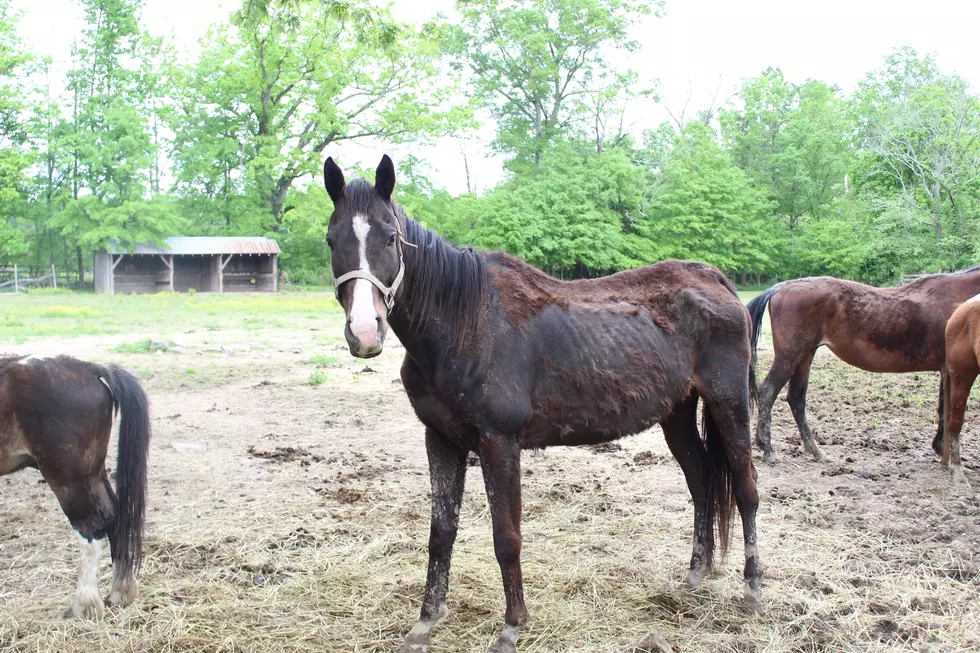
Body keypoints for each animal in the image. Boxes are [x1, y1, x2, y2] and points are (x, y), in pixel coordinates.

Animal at [0, 354, 149, 620]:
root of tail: (89, 368)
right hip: (92, 475)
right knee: (115, 518)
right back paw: (120, 592)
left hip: (68, 480)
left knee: (91, 528)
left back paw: (85, 604)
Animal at [326, 154, 760, 652]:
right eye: (332, 239)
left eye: (391, 237)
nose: (365, 333)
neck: (465, 323)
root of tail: (714, 280)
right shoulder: (441, 440)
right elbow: (441, 532)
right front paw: (426, 622)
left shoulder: (499, 443)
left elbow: (506, 538)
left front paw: (512, 626)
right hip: (678, 415)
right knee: (703, 484)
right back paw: (694, 576)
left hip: (729, 405)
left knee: (746, 491)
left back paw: (752, 591)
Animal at [748, 270, 980, 464]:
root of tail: (780, 287)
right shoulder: (952, 368)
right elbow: (947, 409)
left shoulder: (946, 370)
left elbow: (944, 407)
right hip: (790, 355)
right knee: (768, 392)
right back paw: (767, 448)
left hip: (805, 356)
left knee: (796, 398)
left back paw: (816, 451)